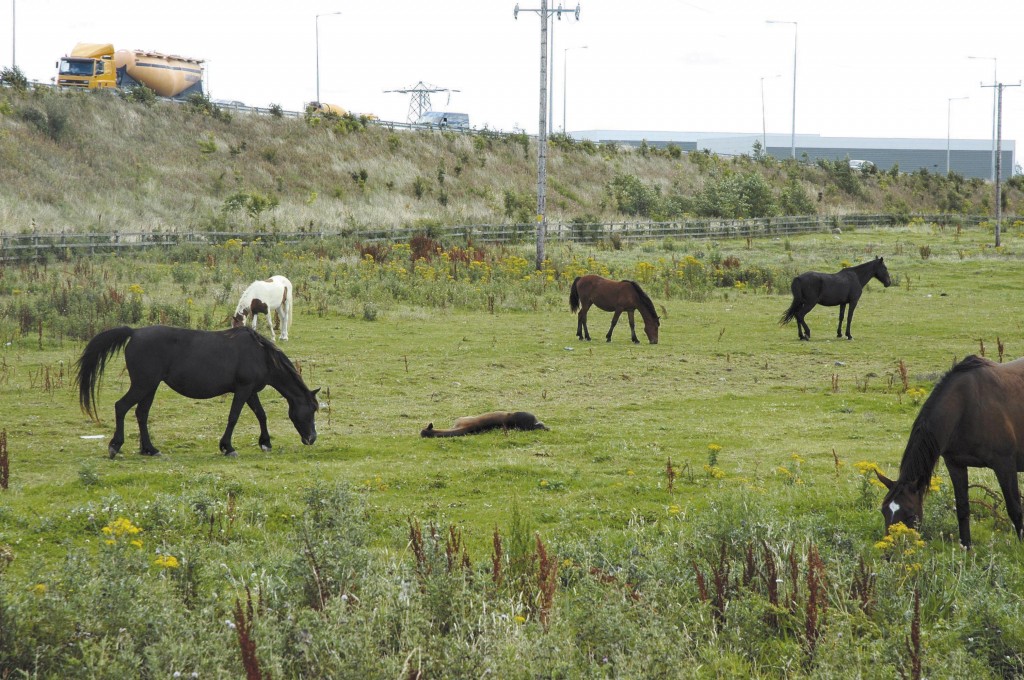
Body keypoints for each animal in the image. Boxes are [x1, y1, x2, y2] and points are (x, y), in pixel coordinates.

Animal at [75, 323, 317, 456]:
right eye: (312, 410)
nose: (312, 438)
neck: (261, 354)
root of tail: (134, 332)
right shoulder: (243, 389)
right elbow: (234, 417)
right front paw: (227, 447)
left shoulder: (250, 391)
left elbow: (261, 415)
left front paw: (265, 442)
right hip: (143, 384)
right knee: (121, 407)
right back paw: (115, 446)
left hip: (150, 387)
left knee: (141, 414)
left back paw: (150, 449)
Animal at [876, 356, 1024, 548]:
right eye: (884, 511)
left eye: (910, 515)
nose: (890, 552)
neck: (967, 407)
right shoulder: (955, 464)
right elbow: (962, 509)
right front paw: (966, 547)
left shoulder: (1004, 465)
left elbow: (1015, 510)